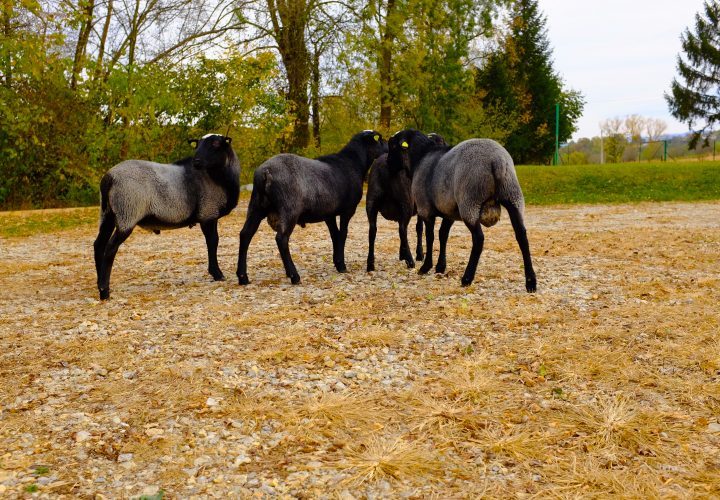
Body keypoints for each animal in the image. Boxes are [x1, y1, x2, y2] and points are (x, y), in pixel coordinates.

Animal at [91, 133, 239, 298]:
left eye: (215, 143)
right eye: (198, 144)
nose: (196, 161)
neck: (219, 178)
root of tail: (109, 177)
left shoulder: (210, 214)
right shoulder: (208, 213)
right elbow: (213, 242)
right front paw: (217, 274)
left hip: (108, 214)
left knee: (99, 244)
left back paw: (99, 283)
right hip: (127, 212)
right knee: (110, 247)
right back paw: (104, 291)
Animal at [238, 129, 388, 286]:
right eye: (380, 139)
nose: (389, 146)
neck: (353, 163)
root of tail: (265, 172)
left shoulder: (329, 214)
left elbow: (335, 235)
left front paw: (337, 262)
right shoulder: (347, 210)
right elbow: (343, 234)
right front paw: (342, 266)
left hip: (257, 205)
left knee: (245, 234)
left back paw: (243, 277)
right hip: (289, 208)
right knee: (281, 239)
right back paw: (294, 276)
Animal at [368, 131, 448, 272]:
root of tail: (384, 168)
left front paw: (403, 254)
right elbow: (420, 229)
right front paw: (418, 255)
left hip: (372, 201)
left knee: (373, 230)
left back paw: (370, 264)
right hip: (406, 202)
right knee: (402, 229)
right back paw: (410, 261)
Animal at [388, 129, 536, 292]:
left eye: (392, 145)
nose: (387, 165)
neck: (420, 158)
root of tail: (497, 161)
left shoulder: (425, 209)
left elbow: (430, 237)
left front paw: (426, 267)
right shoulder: (449, 212)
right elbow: (443, 235)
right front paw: (440, 267)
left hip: (470, 201)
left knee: (478, 238)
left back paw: (467, 278)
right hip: (513, 196)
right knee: (522, 235)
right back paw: (531, 282)